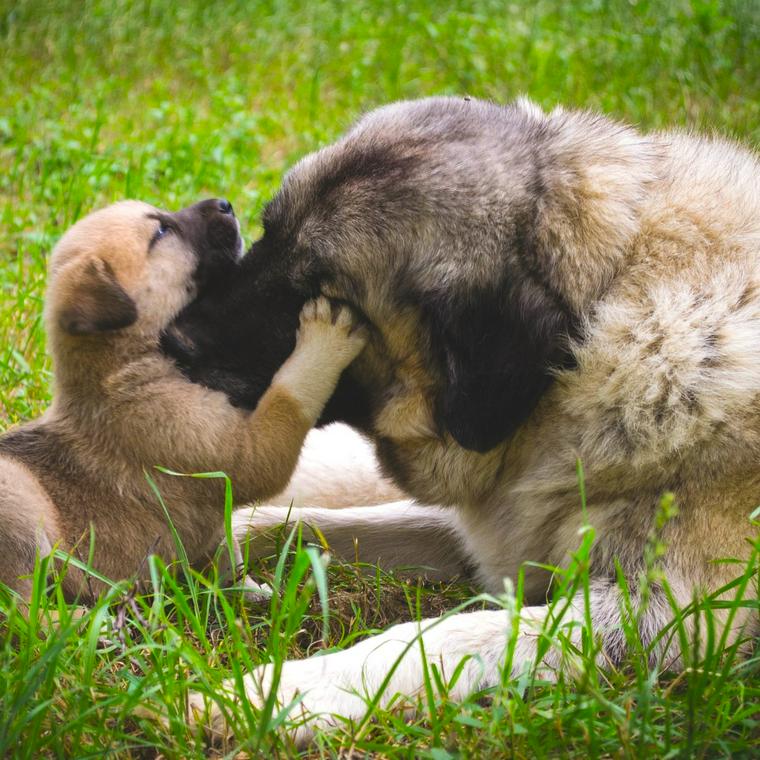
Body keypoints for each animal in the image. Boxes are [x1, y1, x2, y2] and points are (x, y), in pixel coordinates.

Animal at [0, 199, 372, 604]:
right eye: (162, 232)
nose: (224, 204)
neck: (124, 365)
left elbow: (227, 552)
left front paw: (247, 592)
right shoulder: (241, 453)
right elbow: (290, 393)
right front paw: (325, 339)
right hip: (19, 503)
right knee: (20, 605)